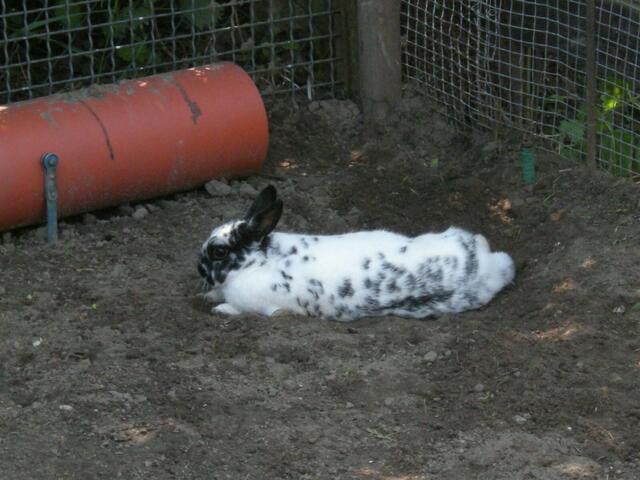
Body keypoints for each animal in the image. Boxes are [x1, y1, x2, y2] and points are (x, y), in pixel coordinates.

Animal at [197, 185, 515, 321]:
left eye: (219, 251)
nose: (198, 268)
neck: (259, 261)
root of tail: (488, 264)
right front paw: (208, 296)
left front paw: (219, 308)